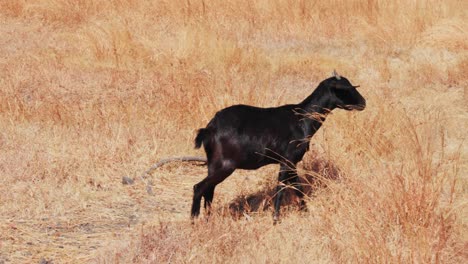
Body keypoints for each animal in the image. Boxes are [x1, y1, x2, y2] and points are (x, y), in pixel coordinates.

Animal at [190, 71, 366, 222]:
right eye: (345, 89)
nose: (363, 103)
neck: (302, 118)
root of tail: (209, 129)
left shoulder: (292, 163)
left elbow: (297, 187)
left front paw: (305, 211)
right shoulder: (286, 161)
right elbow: (281, 189)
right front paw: (275, 218)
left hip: (213, 164)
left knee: (209, 190)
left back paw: (208, 220)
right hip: (225, 166)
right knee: (199, 187)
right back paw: (194, 220)